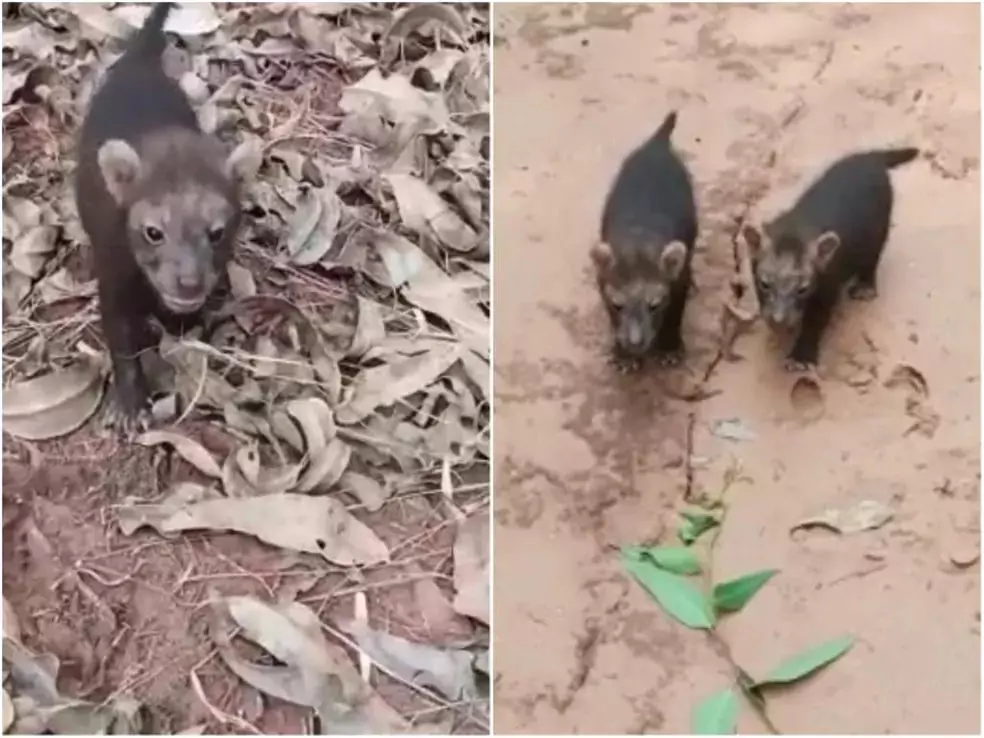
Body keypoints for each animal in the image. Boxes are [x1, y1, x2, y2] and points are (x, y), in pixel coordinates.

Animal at [77, 2, 254, 432]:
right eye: (153, 231)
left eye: (217, 232)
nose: (188, 283)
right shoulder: (112, 277)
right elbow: (121, 340)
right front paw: (132, 403)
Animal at [592, 110, 700, 370]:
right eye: (617, 304)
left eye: (655, 304)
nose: (634, 342)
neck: (638, 236)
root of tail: (657, 143)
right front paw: (623, 356)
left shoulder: (679, 280)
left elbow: (675, 312)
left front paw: (669, 347)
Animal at [744, 147, 924, 370]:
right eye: (765, 283)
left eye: (803, 288)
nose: (779, 319)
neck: (796, 226)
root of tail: (869, 157)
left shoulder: (828, 286)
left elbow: (816, 322)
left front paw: (801, 356)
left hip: (879, 230)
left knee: (872, 259)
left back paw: (865, 287)